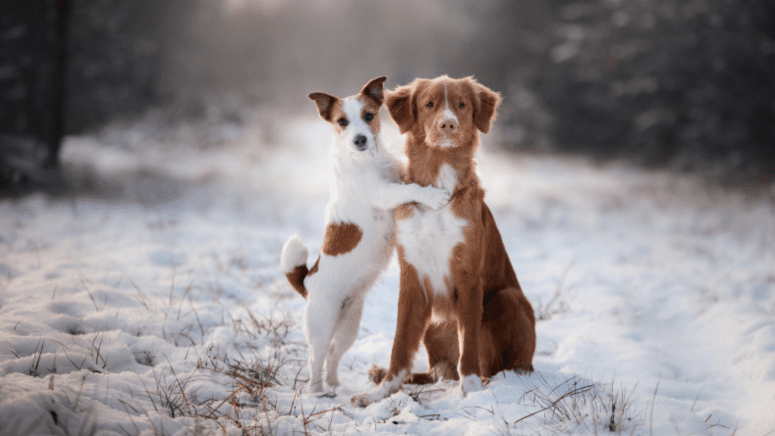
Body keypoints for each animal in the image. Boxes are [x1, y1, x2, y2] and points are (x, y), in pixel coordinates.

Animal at [280, 76, 452, 394]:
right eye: (342, 122)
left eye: (369, 116)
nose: (359, 139)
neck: (368, 161)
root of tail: (307, 282)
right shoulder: (385, 193)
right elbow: (410, 189)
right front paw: (433, 196)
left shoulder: (396, 175)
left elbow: (407, 178)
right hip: (321, 325)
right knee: (315, 360)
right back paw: (317, 391)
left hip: (349, 326)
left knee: (334, 355)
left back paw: (335, 386)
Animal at [354, 74, 536, 406]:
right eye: (429, 104)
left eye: (461, 105)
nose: (448, 124)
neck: (437, 189)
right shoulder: (412, 277)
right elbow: (399, 345)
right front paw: (381, 394)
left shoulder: (467, 276)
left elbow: (470, 344)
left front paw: (473, 390)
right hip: (434, 324)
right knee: (437, 370)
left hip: (507, 299)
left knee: (502, 363)